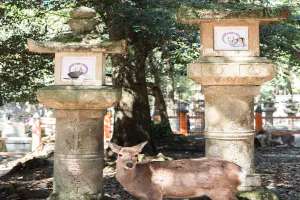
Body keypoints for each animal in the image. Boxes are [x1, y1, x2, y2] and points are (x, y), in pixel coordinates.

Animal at [107, 141, 246, 200]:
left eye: (136, 154)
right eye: (120, 154)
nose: (129, 164)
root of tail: (241, 171)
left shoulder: (154, 192)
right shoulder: (143, 196)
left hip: (219, 191)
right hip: (228, 191)